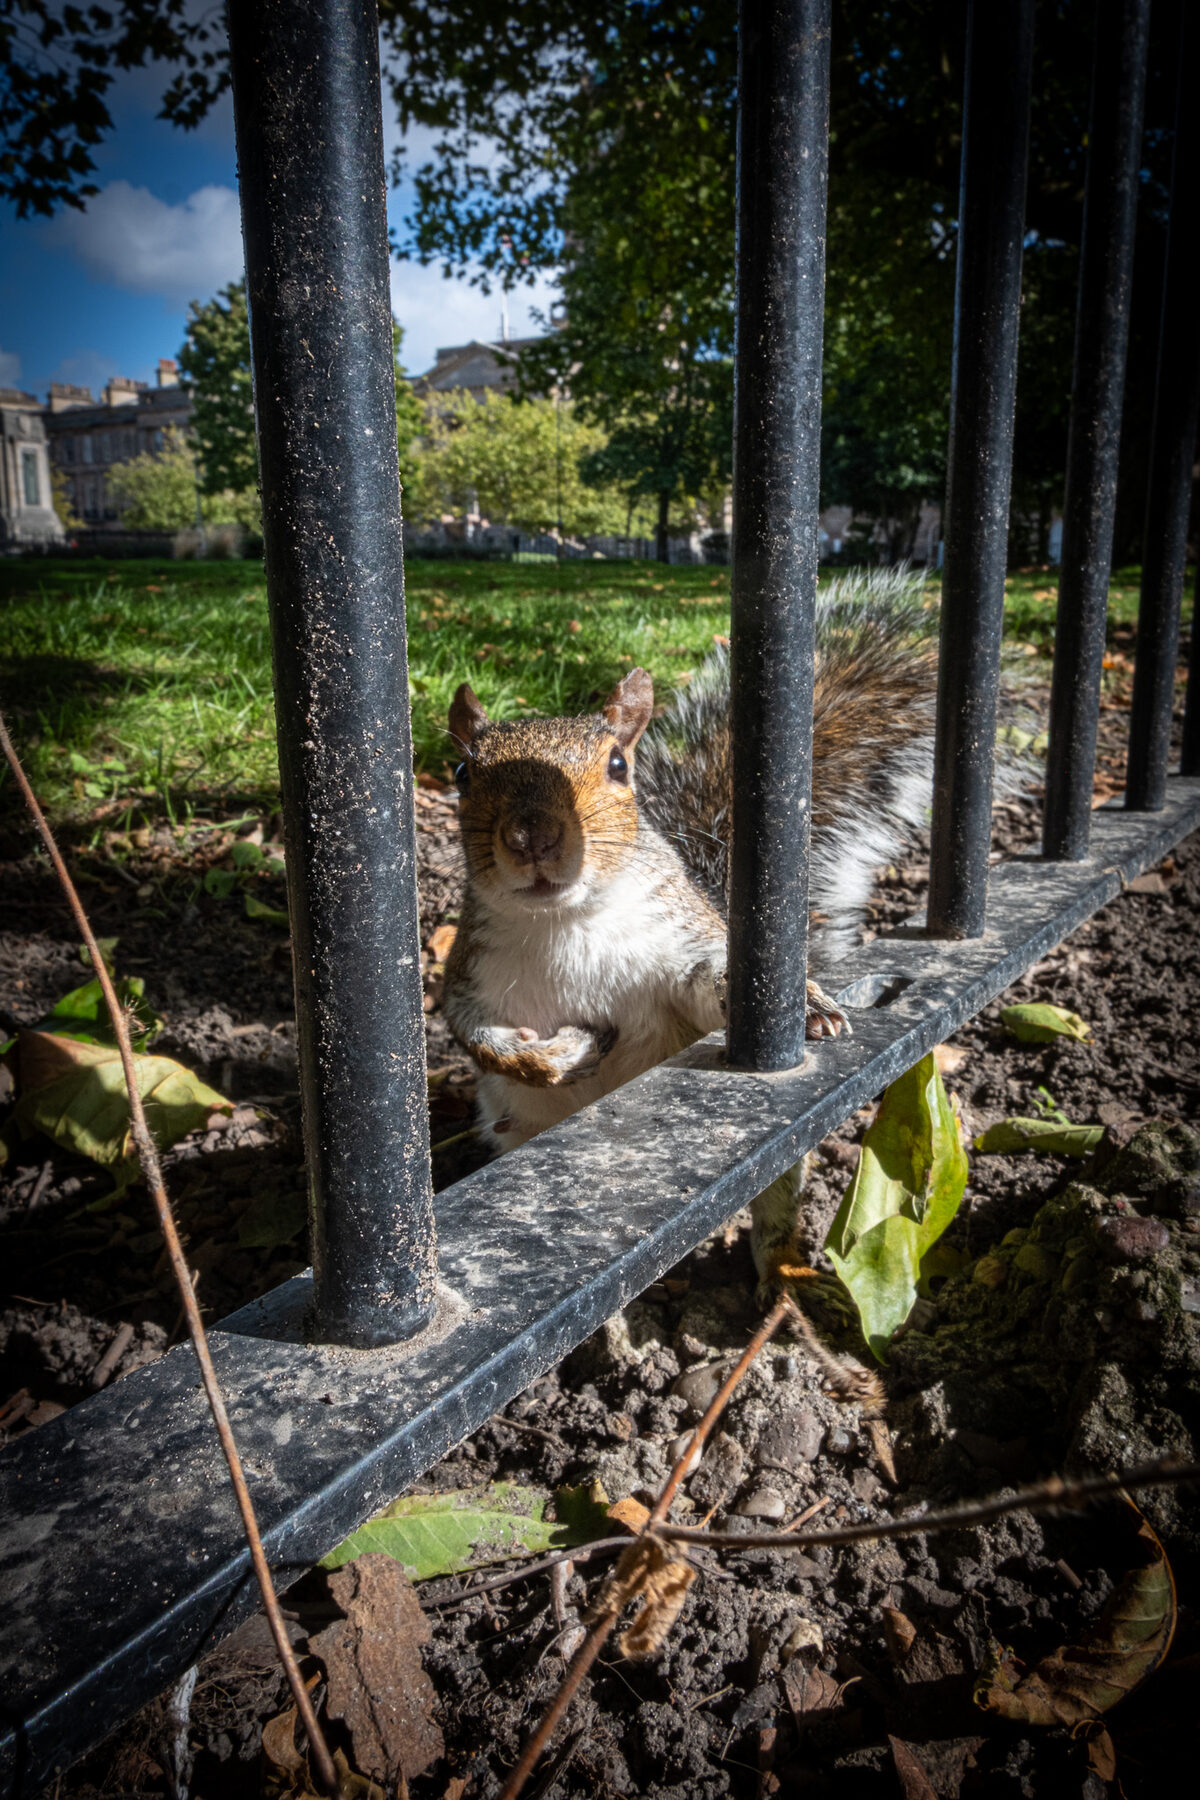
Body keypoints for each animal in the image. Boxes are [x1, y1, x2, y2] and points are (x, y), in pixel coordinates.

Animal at [443, 567, 941, 1297]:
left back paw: (781, 1274)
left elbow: (707, 984)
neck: (566, 922)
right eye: (461, 774)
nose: (533, 835)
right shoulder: (468, 977)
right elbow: (478, 1039)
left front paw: (804, 1003)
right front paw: (552, 1056)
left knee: (774, 1213)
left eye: (618, 766)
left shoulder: (676, 946)